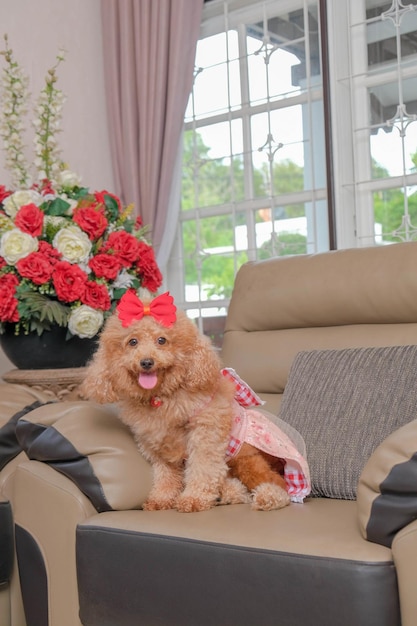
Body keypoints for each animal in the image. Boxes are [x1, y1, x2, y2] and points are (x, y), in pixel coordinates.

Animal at [81, 290, 308, 510]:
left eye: (162, 340)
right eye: (132, 342)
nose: (146, 362)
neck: (163, 397)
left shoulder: (205, 436)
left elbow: (202, 470)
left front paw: (193, 499)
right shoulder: (158, 446)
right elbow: (165, 476)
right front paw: (161, 499)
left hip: (247, 458)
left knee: (278, 483)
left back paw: (267, 497)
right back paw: (227, 494)